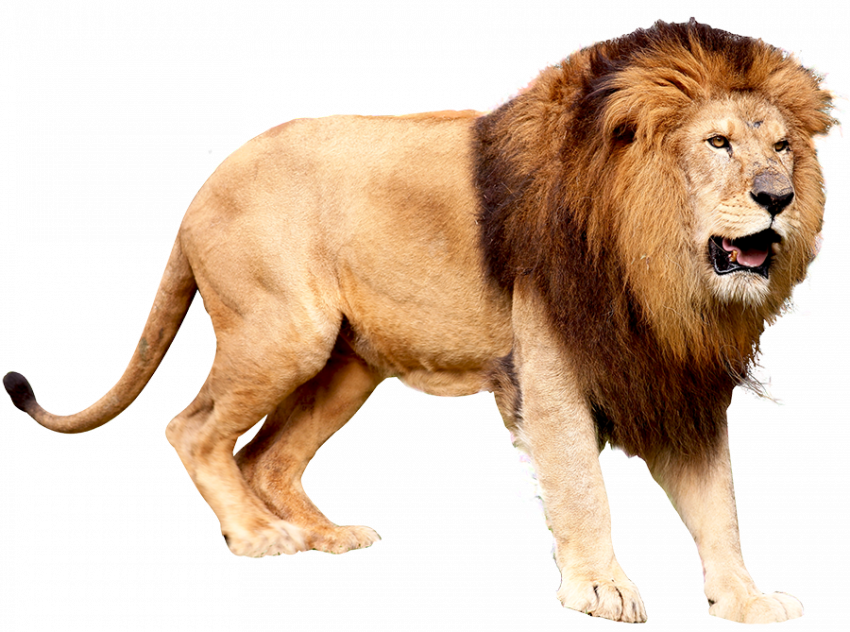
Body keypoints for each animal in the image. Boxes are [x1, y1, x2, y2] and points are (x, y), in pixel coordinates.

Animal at [3, 19, 843, 624]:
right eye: (718, 142)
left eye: (782, 146)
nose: (778, 197)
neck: (661, 271)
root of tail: (205, 188)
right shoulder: (550, 372)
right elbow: (581, 487)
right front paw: (602, 590)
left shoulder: (674, 380)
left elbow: (717, 506)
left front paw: (746, 602)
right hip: (284, 333)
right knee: (195, 429)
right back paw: (261, 536)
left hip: (346, 364)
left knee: (267, 457)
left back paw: (323, 536)